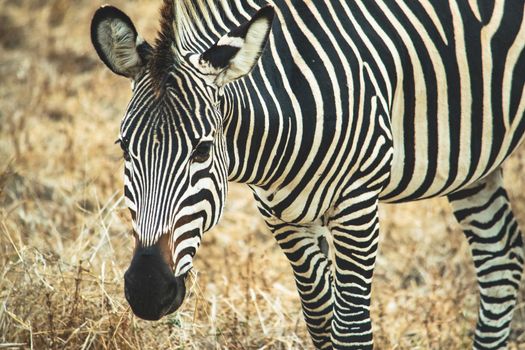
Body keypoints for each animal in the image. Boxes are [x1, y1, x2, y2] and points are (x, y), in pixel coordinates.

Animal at [90, 0, 524, 348]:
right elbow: (320, 321)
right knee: (501, 261)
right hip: (475, 164)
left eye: (203, 150)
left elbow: (350, 330)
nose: (147, 289)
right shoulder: (282, 216)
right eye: (124, 148)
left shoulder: (357, 205)